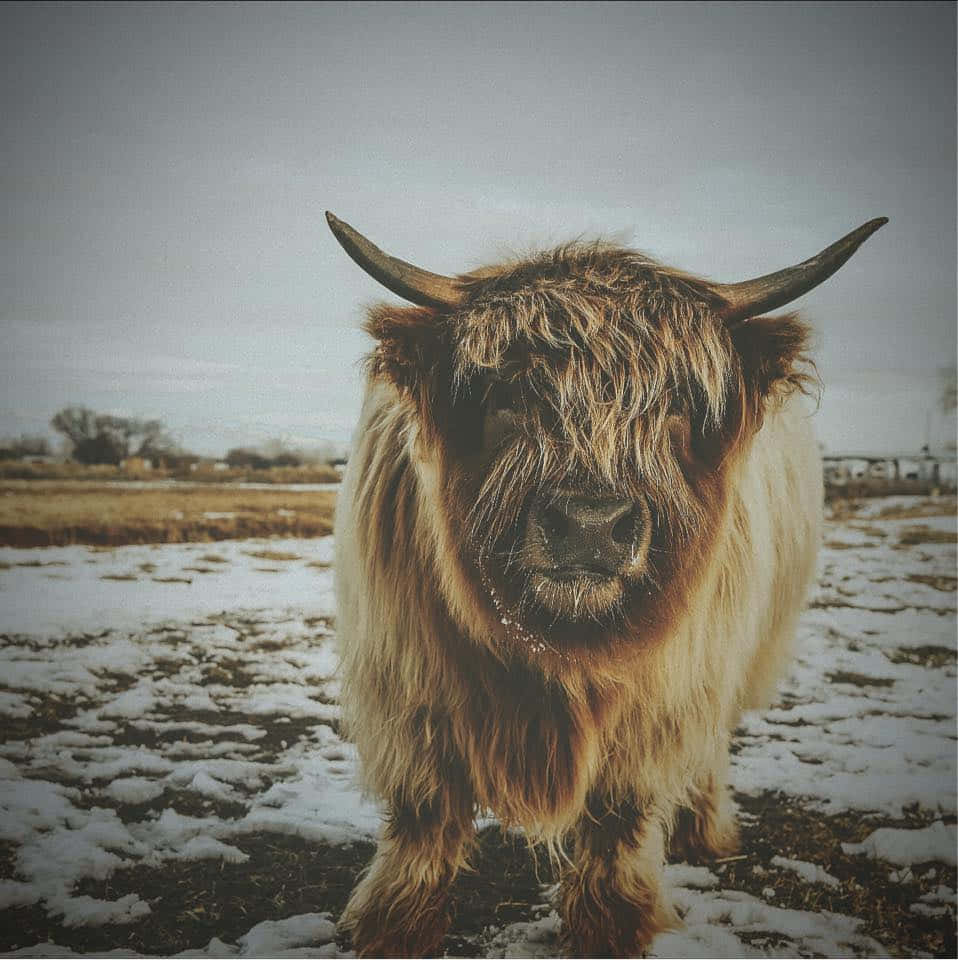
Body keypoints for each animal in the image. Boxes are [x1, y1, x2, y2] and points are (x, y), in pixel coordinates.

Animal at [326, 211, 886, 957]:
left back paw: (706, 832)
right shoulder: (407, 681)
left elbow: (621, 814)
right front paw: (393, 926)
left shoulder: (665, 694)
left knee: (709, 750)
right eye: (509, 393)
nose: (590, 525)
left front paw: (615, 926)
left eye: (677, 403)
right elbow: (424, 811)